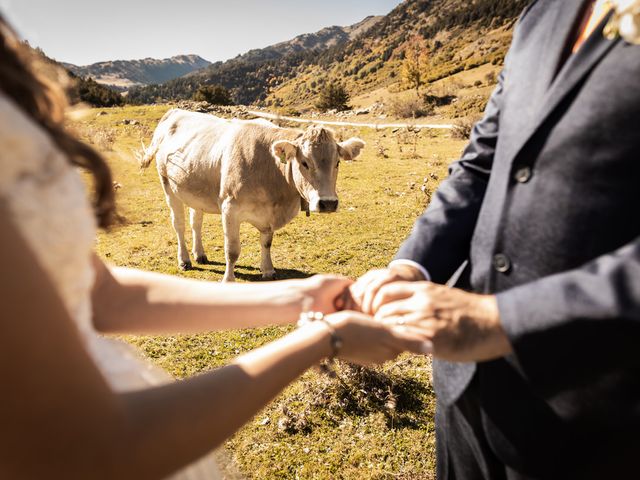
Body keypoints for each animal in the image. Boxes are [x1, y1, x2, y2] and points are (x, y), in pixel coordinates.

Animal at [141, 109, 364, 282]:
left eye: (337, 162)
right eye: (305, 163)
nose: (328, 203)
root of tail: (174, 112)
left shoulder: (268, 214)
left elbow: (266, 242)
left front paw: (268, 270)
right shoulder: (229, 208)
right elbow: (232, 251)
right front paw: (228, 279)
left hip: (195, 189)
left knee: (196, 221)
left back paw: (200, 254)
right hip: (168, 186)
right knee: (179, 224)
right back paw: (185, 260)